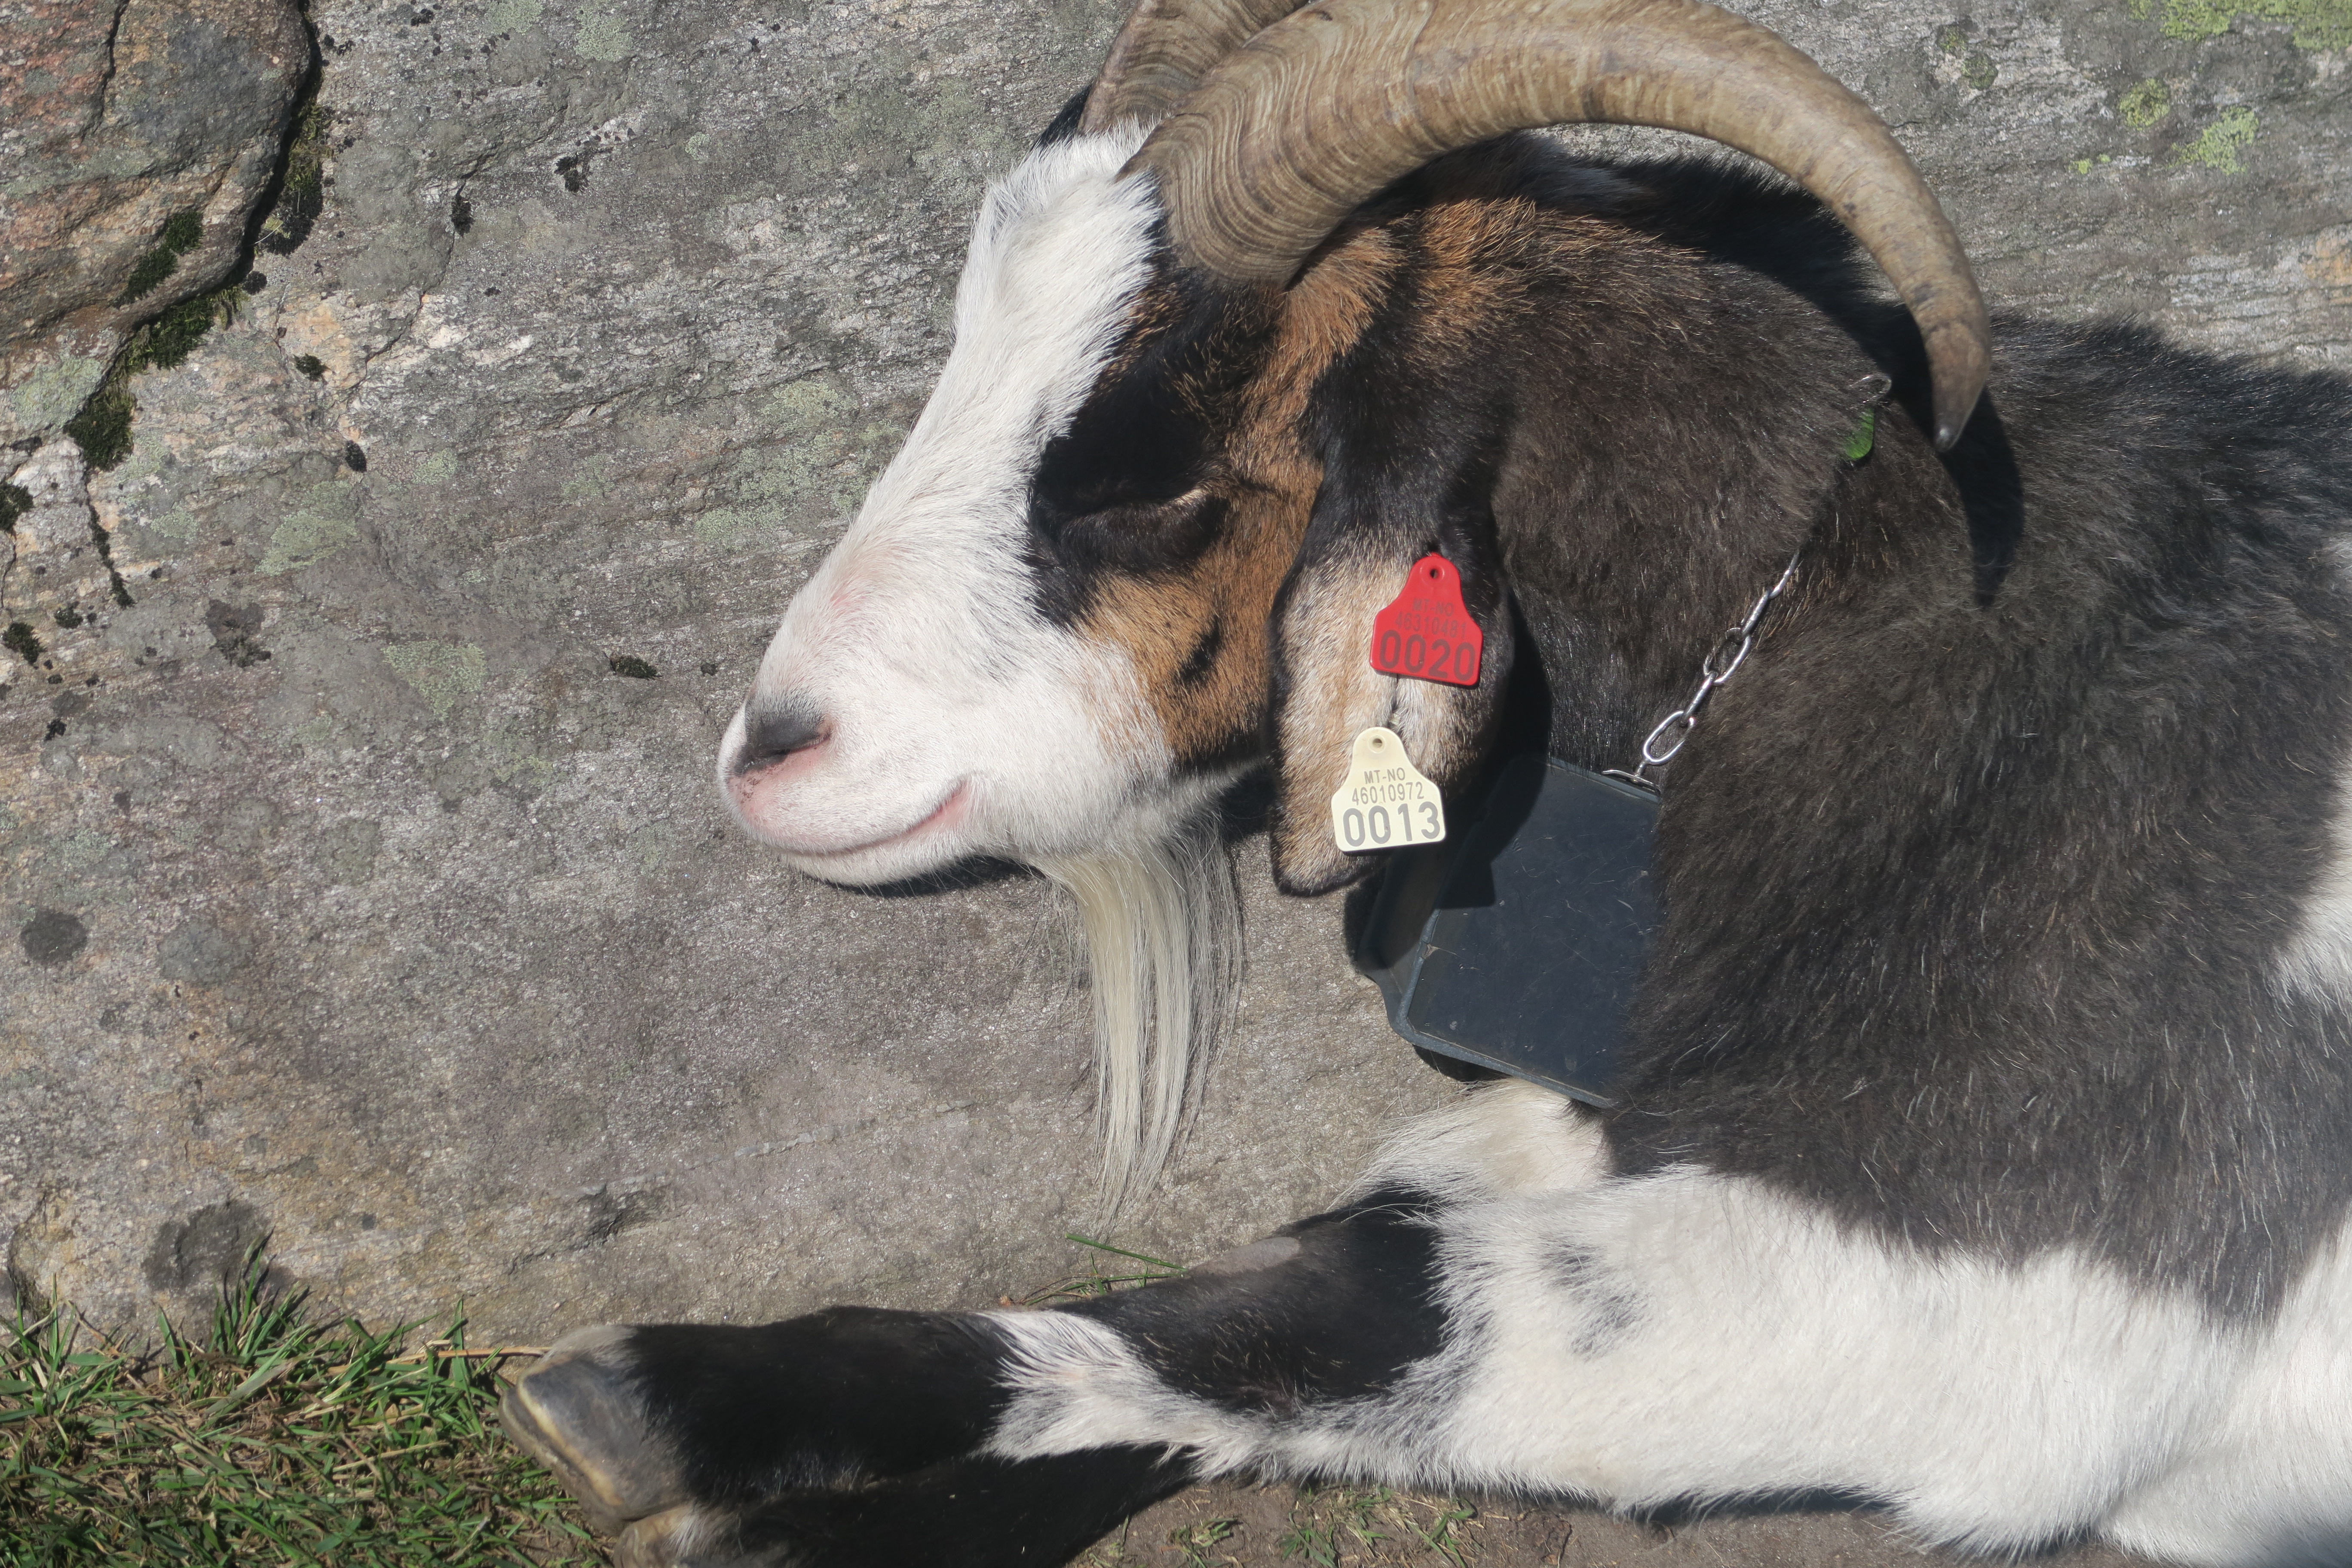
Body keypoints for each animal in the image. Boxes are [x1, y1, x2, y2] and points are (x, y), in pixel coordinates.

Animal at [500, 0, 2352, 1562]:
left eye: (1152, 478)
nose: (776, 746)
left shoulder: (1997, 1278)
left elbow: (1372, 1304)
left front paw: (678, 1410)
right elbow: (1342, 1239)